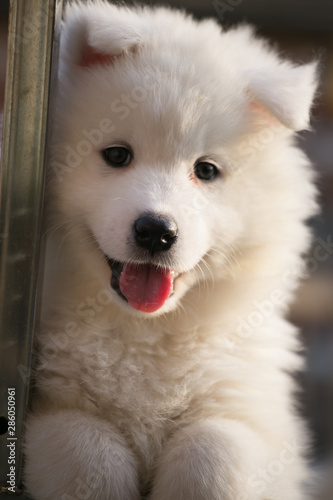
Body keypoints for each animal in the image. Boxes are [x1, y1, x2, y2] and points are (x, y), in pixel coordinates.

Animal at [24, 0, 316, 500]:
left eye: (207, 170)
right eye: (117, 155)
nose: (156, 231)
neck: (145, 333)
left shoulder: (248, 411)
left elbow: (212, 456)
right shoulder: (49, 411)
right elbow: (89, 455)